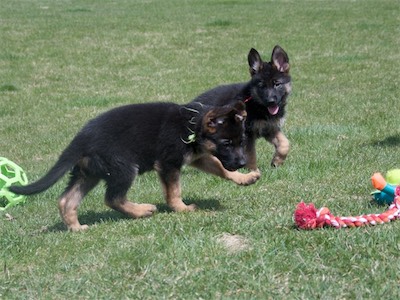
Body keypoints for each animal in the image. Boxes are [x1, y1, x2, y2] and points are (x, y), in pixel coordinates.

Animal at [8, 101, 247, 232]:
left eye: (241, 141)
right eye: (226, 143)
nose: (243, 163)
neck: (192, 124)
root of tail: (81, 139)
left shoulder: (198, 157)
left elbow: (220, 167)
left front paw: (245, 178)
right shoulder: (169, 163)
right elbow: (174, 191)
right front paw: (182, 209)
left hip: (89, 173)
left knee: (67, 200)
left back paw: (76, 228)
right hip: (124, 167)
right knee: (113, 198)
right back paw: (142, 210)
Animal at [192, 45, 292, 184]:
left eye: (277, 84)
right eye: (261, 86)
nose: (271, 101)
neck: (257, 104)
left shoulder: (269, 128)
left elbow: (284, 143)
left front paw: (277, 161)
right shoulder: (247, 134)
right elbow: (251, 155)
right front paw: (252, 172)